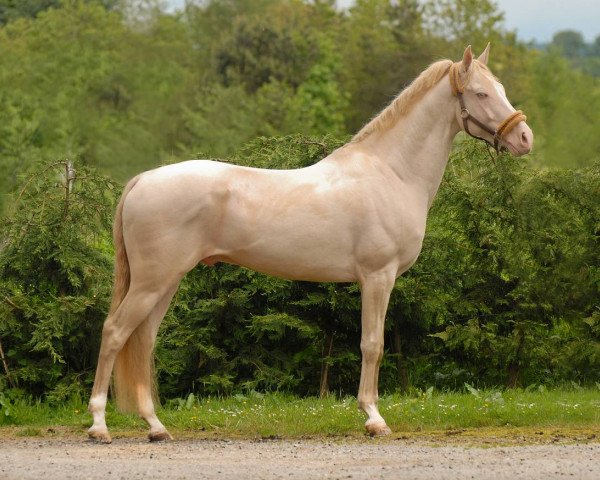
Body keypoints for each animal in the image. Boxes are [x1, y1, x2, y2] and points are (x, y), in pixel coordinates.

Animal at [86, 45, 532, 442]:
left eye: (501, 87)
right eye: (480, 93)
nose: (524, 137)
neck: (391, 171)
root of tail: (143, 180)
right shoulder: (378, 277)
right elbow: (373, 345)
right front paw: (373, 418)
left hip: (165, 283)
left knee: (143, 341)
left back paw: (155, 427)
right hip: (152, 282)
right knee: (115, 332)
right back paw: (99, 425)